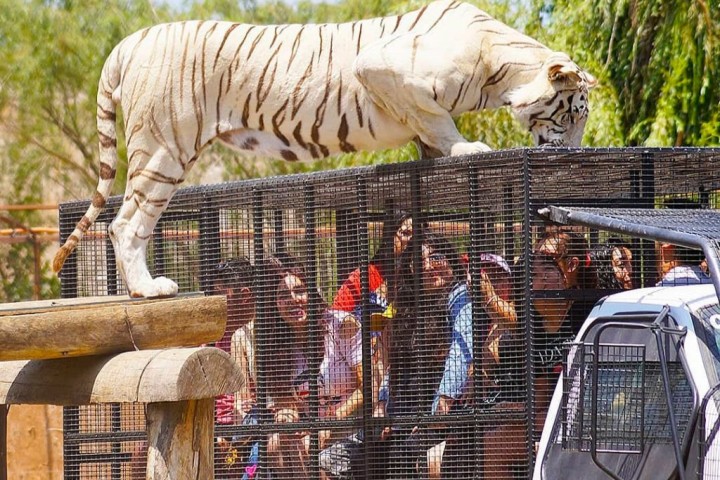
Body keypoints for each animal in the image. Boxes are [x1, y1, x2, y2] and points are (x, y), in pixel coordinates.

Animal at [53, 1, 596, 298]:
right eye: (572, 115)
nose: (574, 155)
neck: (500, 68)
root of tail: (129, 41)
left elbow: (428, 143)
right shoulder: (382, 68)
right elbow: (439, 122)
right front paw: (467, 148)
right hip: (164, 149)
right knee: (125, 223)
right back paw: (150, 289)